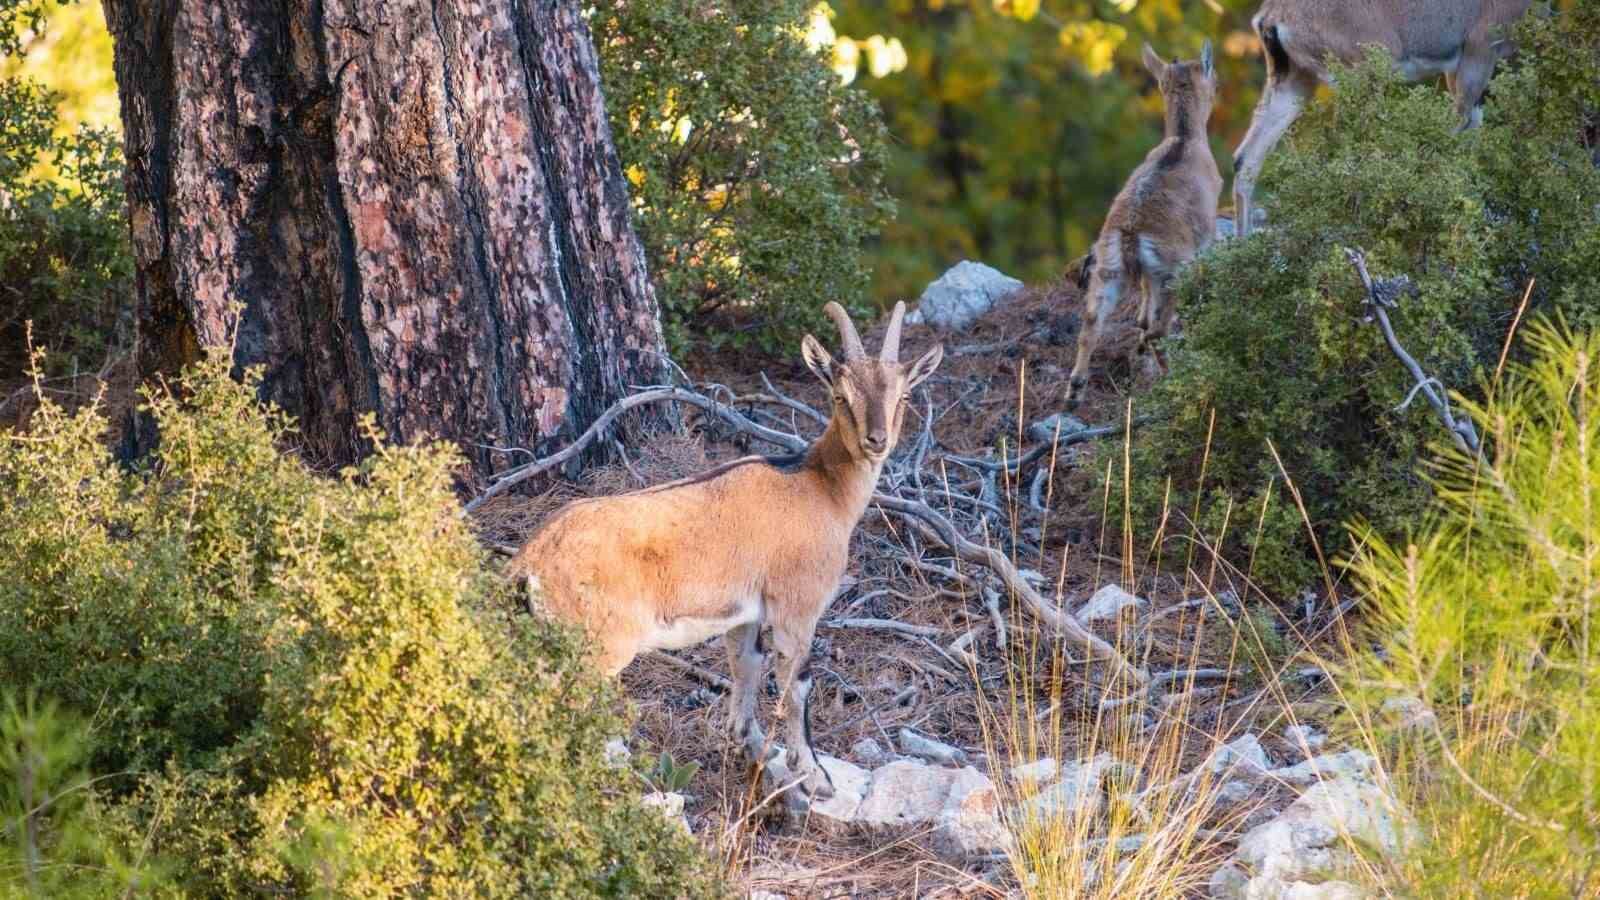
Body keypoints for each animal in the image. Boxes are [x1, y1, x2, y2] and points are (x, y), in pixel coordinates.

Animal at [505, 302, 940, 797]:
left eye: (904, 396)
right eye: (840, 396)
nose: (876, 442)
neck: (819, 489)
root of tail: (531, 560)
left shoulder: (745, 613)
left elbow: (746, 665)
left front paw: (749, 746)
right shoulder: (797, 606)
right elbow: (797, 684)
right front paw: (814, 775)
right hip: (596, 645)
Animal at [1062, 42, 1222, 406]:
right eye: (1215, 79)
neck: (1184, 140)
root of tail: (1131, 237)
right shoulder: (1204, 238)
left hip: (1108, 271)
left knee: (1091, 322)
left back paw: (1075, 391)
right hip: (1172, 271)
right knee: (1158, 331)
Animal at [1228, 0, 1529, 237]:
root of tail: (1272, 17)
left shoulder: (1459, 67)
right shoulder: (1479, 50)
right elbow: (1457, 129)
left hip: (1295, 79)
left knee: (1247, 157)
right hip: (1364, 72)